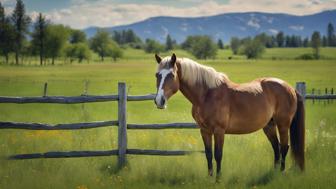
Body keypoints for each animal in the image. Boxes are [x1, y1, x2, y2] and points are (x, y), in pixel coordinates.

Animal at [154, 53, 306, 179]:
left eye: (171, 75)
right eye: (157, 75)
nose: (159, 101)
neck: (207, 94)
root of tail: (290, 88)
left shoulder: (219, 130)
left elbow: (218, 154)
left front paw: (218, 179)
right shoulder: (204, 130)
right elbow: (208, 154)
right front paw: (209, 178)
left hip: (283, 124)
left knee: (284, 147)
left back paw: (281, 173)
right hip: (269, 125)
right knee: (276, 147)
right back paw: (274, 172)